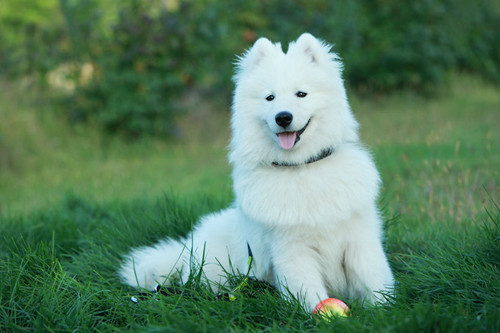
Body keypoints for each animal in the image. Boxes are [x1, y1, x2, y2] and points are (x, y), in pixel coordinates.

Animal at [119, 32, 392, 310]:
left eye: (301, 94)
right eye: (269, 98)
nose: (283, 117)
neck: (300, 167)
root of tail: (186, 249)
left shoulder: (359, 240)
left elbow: (374, 278)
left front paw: (382, 309)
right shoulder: (292, 250)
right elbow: (308, 291)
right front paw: (319, 313)